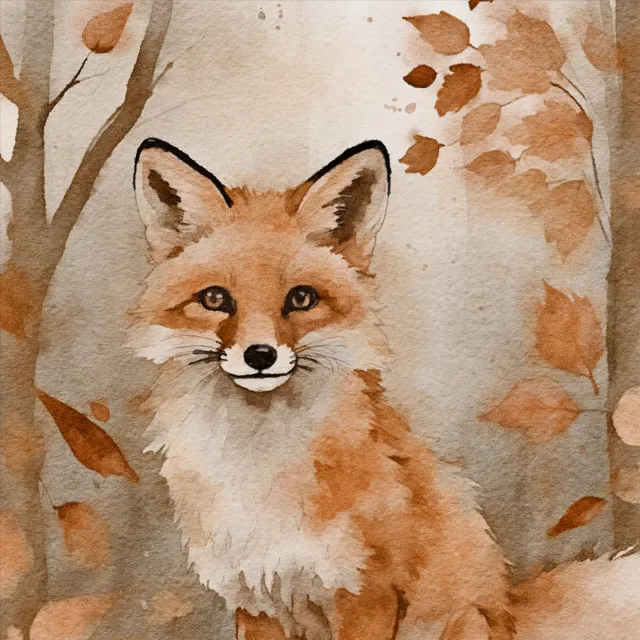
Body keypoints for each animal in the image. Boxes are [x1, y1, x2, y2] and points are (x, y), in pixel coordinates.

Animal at [129, 138, 639, 640]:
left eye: (301, 298)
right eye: (215, 299)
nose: (260, 356)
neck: (260, 463)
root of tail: (509, 612)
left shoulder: (364, 591)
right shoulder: (256, 598)